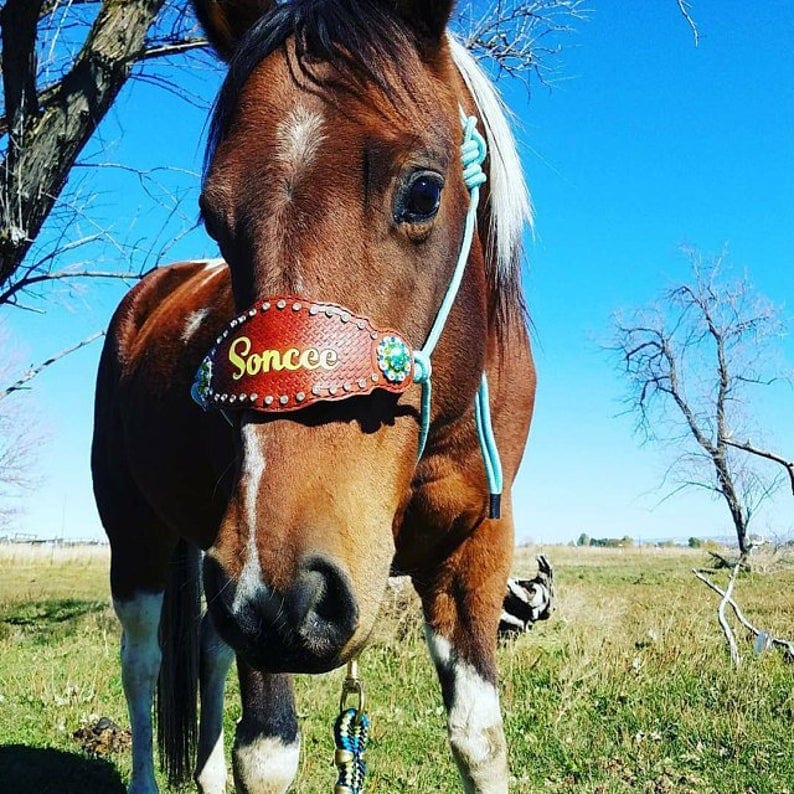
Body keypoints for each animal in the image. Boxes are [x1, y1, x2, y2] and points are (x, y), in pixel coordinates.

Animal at [91, 3, 532, 788]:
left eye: (424, 192)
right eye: (215, 218)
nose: (287, 598)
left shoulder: (477, 549)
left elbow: (480, 739)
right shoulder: (252, 583)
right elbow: (267, 754)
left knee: (207, 654)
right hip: (139, 536)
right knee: (142, 665)